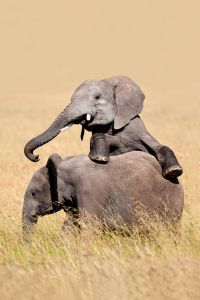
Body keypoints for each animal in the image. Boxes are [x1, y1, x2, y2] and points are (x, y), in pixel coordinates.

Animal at [22, 151, 184, 233]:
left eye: (34, 193)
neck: (62, 166)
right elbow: (69, 226)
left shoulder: (90, 190)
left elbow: (91, 226)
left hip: (172, 199)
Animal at [23, 75, 183, 178]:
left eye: (97, 97)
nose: (36, 156)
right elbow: (98, 138)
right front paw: (99, 158)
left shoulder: (136, 126)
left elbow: (160, 146)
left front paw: (174, 171)